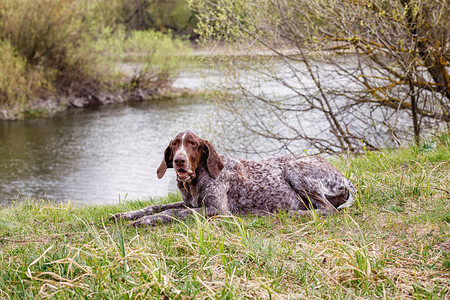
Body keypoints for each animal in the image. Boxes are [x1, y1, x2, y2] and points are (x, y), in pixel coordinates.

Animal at [111, 130, 356, 226]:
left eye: (193, 144)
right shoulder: (190, 203)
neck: (196, 182)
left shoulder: (216, 210)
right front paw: (126, 214)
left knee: (327, 210)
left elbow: (171, 213)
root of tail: (344, 179)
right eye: (174, 144)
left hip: (295, 170)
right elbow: (156, 206)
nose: (179, 160)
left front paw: (143, 221)